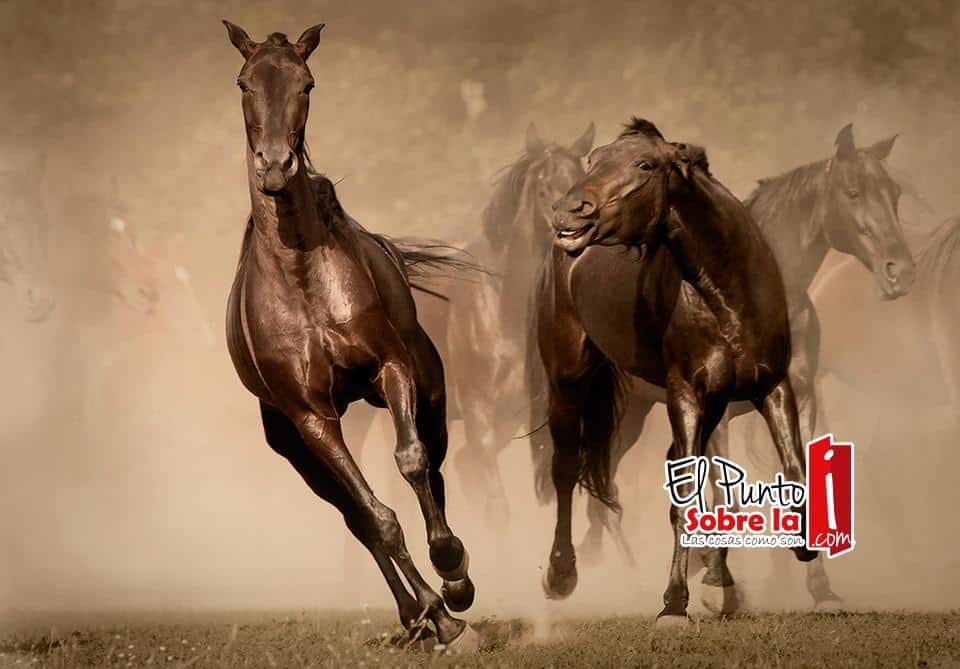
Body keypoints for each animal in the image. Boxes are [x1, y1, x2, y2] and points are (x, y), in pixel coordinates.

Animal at [222, 22, 478, 648]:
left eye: (307, 82)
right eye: (244, 82)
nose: (274, 165)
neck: (301, 279)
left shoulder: (391, 368)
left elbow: (411, 461)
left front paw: (452, 574)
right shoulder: (312, 418)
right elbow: (377, 520)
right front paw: (439, 617)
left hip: (428, 390)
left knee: (433, 467)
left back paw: (454, 581)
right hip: (297, 447)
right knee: (356, 515)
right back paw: (418, 615)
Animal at [535, 118, 816, 626]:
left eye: (645, 164)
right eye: (593, 159)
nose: (569, 213)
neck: (729, 294)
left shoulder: (771, 386)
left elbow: (793, 469)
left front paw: (802, 547)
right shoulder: (685, 391)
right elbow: (688, 492)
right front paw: (673, 603)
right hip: (567, 379)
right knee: (565, 469)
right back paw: (561, 574)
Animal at [569, 123, 915, 611]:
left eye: (895, 193)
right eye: (853, 192)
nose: (900, 272)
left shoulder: (795, 394)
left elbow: (794, 476)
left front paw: (820, 589)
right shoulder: (720, 409)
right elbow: (720, 494)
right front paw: (718, 583)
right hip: (623, 413)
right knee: (602, 487)